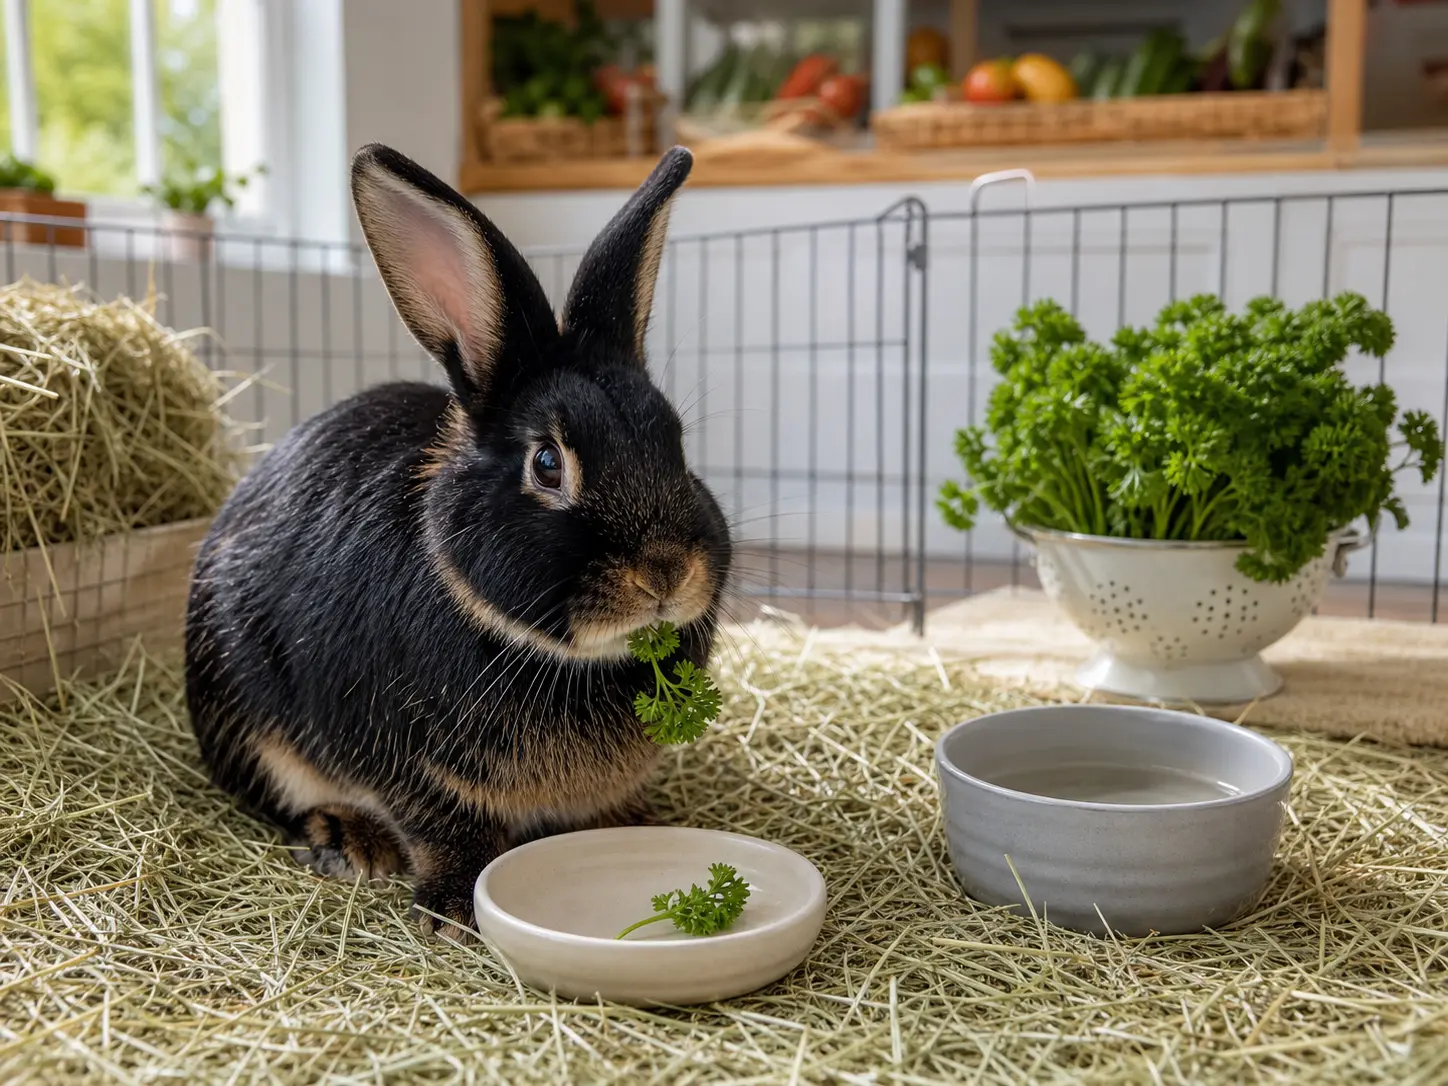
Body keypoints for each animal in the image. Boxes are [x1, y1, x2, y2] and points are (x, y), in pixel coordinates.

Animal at [185, 143, 731, 939]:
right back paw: (347, 839)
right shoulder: (406, 765)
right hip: (245, 714)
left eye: (677, 442)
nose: (664, 573)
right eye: (547, 463)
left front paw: (639, 829)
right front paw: (450, 911)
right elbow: (443, 829)